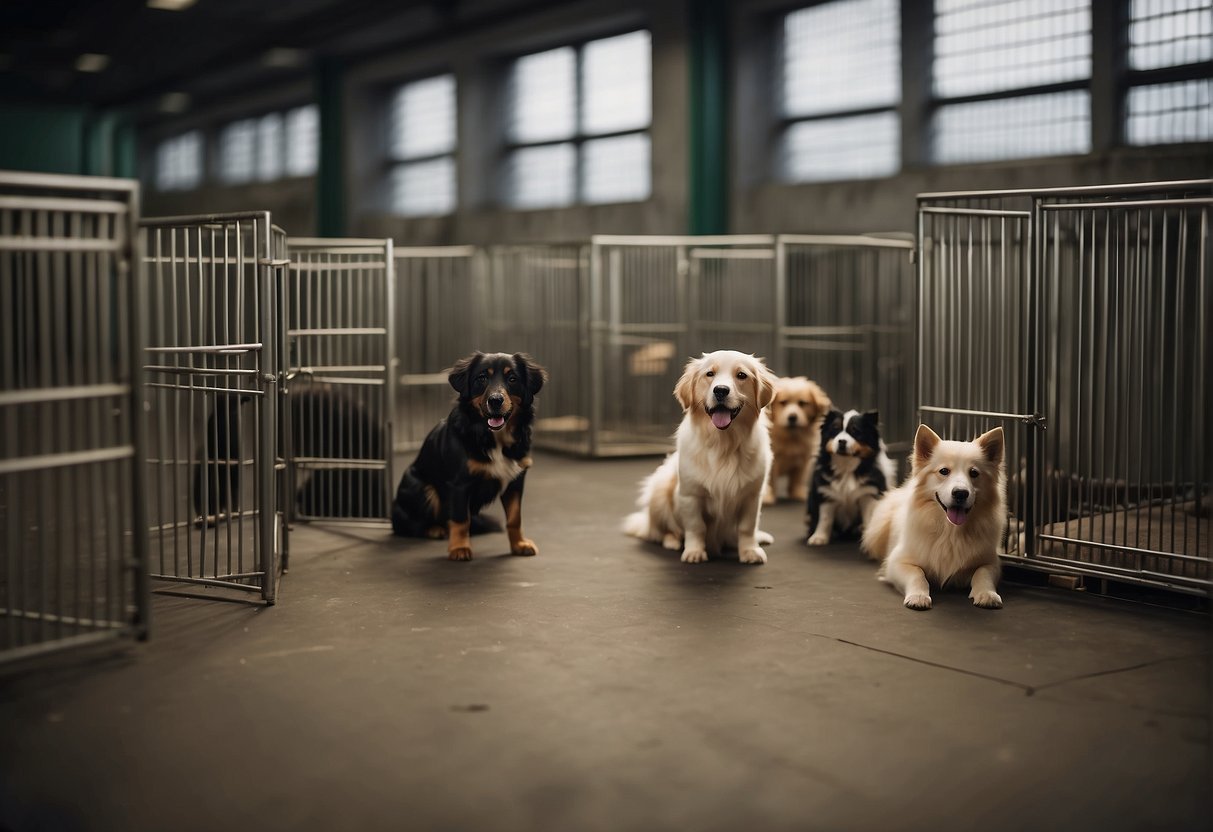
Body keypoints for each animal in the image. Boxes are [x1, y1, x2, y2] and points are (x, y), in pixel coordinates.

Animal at [390, 349, 548, 562]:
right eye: (482, 378)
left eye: (512, 378)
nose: (495, 400)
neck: (494, 437)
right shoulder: (459, 483)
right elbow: (460, 519)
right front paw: (459, 548)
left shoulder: (516, 481)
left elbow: (515, 518)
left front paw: (519, 544)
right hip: (422, 488)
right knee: (407, 524)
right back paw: (434, 529)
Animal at [625, 351, 776, 567]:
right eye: (709, 374)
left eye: (741, 375)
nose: (721, 390)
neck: (723, 444)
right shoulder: (691, 495)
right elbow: (696, 527)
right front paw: (694, 551)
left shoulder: (752, 496)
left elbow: (747, 527)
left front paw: (750, 550)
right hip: (659, 490)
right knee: (661, 532)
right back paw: (672, 541)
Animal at [766, 380, 834, 509]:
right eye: (783, 402)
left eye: (802, 403)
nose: (792, 417)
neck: (791, 437)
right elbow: (770, 479)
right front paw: (768, 495)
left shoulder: (803, 459)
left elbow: (797, 478)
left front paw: (797, 493)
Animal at [805, 409, 902, 548]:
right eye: (835, 429)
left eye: (856, 432)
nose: (842, 441)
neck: (846, 466)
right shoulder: (826, 494)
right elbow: (825, 518)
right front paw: (819, 537)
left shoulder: (868, 494)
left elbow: (869, 517)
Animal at [868, 424, 1009, 613]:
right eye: (944, 471)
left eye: (974, 473)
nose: (960, 493)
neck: (951, 532)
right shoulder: (896, 562)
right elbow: (917, 574)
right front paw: (918, 597)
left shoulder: (991, 562)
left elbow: (982, 574)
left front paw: (987, 594)